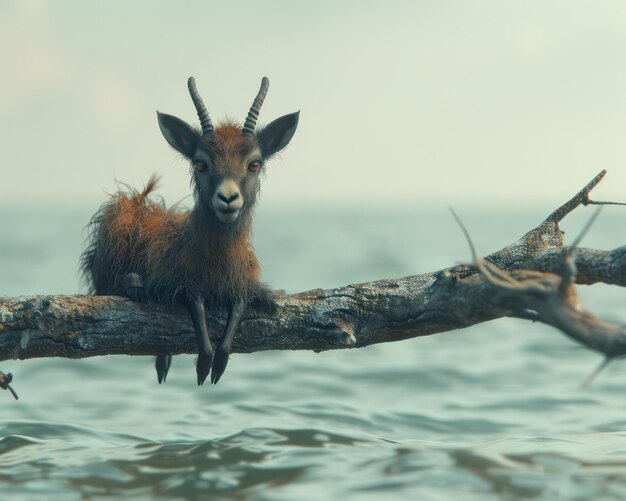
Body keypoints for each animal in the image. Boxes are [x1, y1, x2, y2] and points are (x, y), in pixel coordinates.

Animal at [80, 77, 298, 382]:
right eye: (201, 163)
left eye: (254, 164)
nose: (228, 198)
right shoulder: (177, 283)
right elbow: (196, 303)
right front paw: (205, 365)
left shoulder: (243, 284)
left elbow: (239, 305)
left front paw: (219, 363)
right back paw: (135, 286)